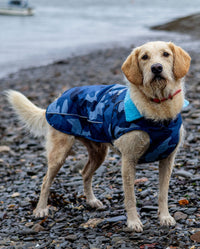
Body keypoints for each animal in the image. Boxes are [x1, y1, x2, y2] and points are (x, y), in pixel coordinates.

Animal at [5, 40, 191, 231]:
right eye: (144, 57)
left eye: (166, 54)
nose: (156, 68)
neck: (158, 106)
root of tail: (56, 100)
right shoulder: (128, 160)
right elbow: (130, 196)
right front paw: (133, 221)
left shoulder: (168, 160)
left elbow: (163, 193)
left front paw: (165, 217)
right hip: (59, 152)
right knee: (45, 181)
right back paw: (41, 209)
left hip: (99, 152)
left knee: (85, 173)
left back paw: (92, 201)